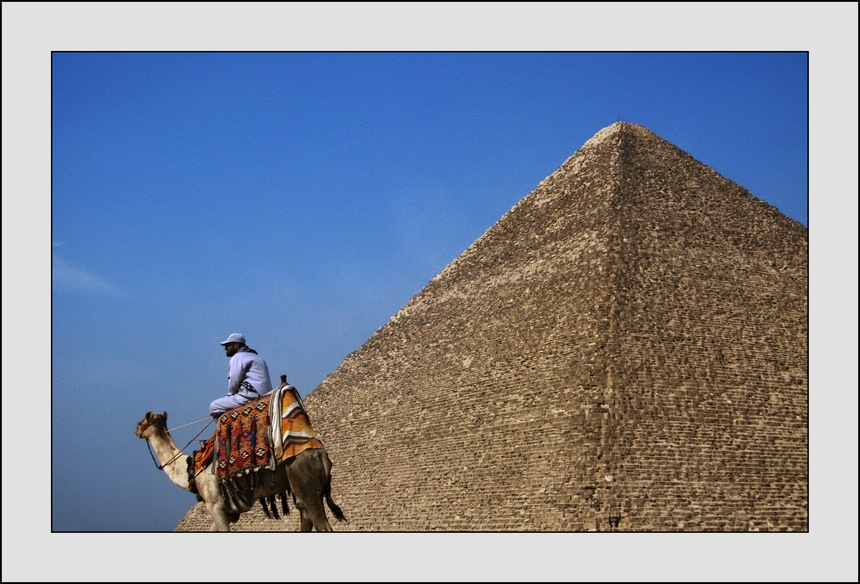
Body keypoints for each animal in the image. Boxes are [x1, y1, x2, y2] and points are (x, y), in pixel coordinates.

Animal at [134, 410, 346, 532]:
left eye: (142, 422)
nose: (136, 430)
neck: (192, 470)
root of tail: (321, 455)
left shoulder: (215, 505)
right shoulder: (229, 511)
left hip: (307, 485)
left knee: (322, 524)